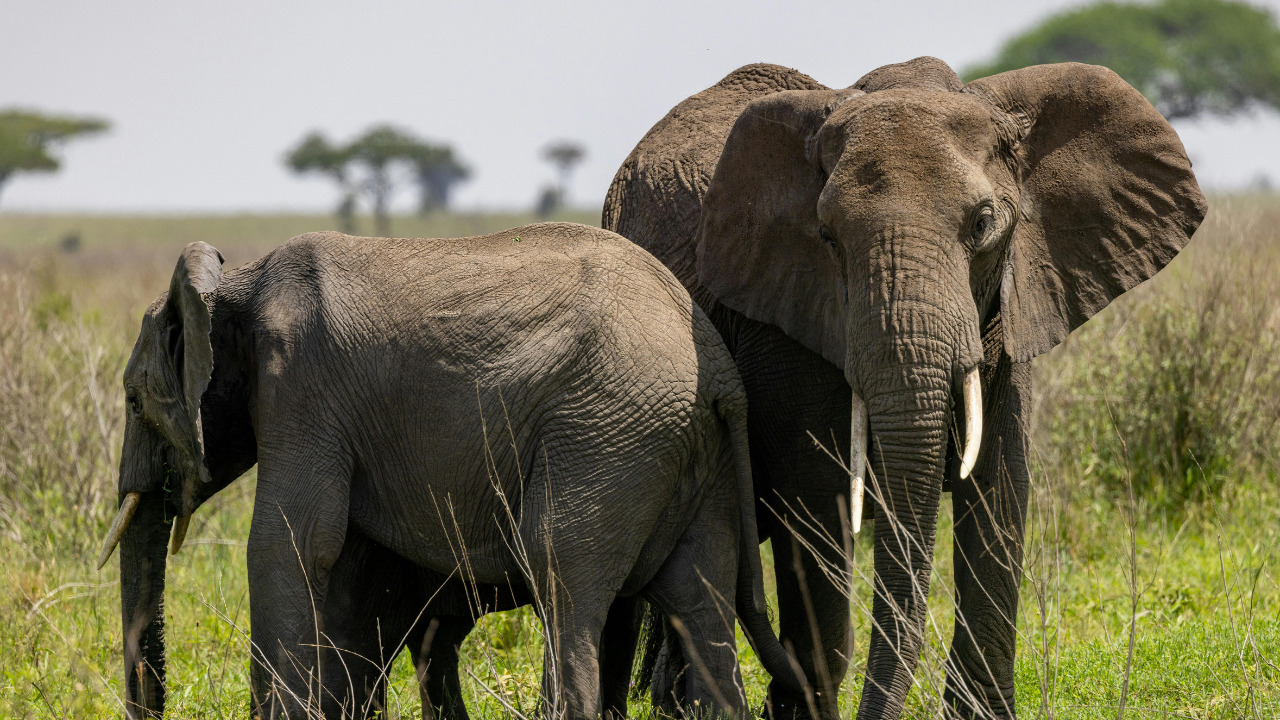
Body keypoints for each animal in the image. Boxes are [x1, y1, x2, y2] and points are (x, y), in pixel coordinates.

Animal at [97, 224, 808, 717]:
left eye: (132, 400)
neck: (233, 286)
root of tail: (721, 372)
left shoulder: (299, 391)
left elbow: (288, 541)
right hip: (690, 452)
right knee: (699, 598)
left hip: (609, 431)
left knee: (559, 571)